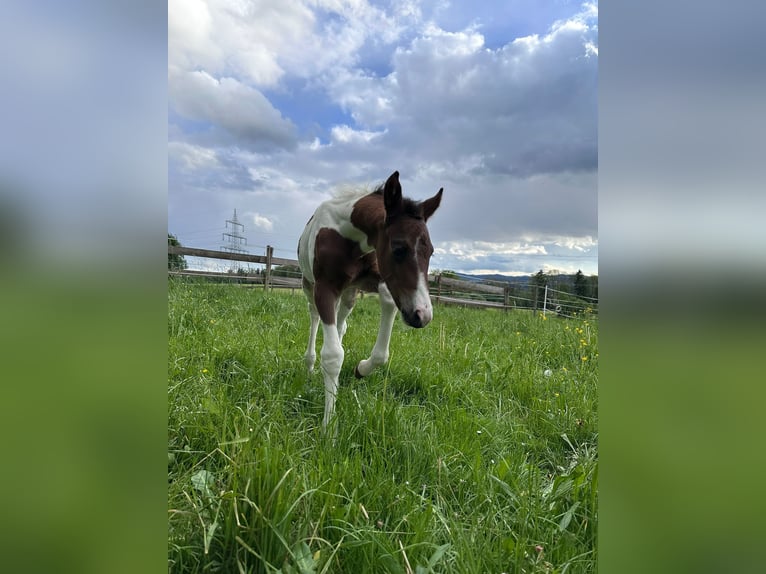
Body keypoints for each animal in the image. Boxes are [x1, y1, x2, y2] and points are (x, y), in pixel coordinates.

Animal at [297, 171, 443, 430]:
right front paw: (328, 428)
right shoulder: (325, 288)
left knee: (341, 323)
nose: (422, 315)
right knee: (314, 316)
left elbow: (386, 309)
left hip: (350, 292)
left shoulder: (379, 278)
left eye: (431, 251)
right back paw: (310, 364)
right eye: (398, 248)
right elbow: (332, 355)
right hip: (309, 285)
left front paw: (361, 369)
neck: (348, 237)